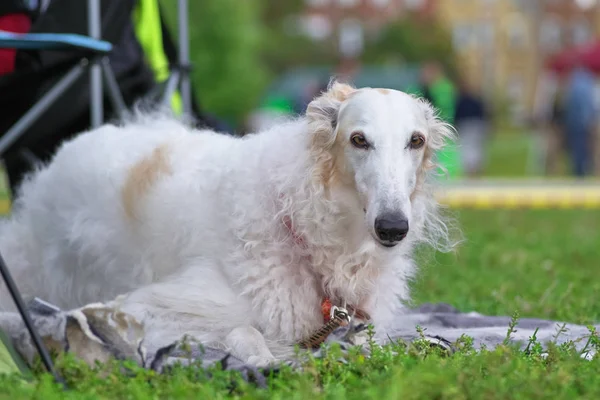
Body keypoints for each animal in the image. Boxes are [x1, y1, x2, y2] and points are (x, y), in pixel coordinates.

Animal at [0, 81, 452, 366]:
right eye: (359, 139)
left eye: (416, 141)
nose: (392, 228)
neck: (296, 219)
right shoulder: (142, 308)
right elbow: (245, 334)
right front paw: (266, 361)